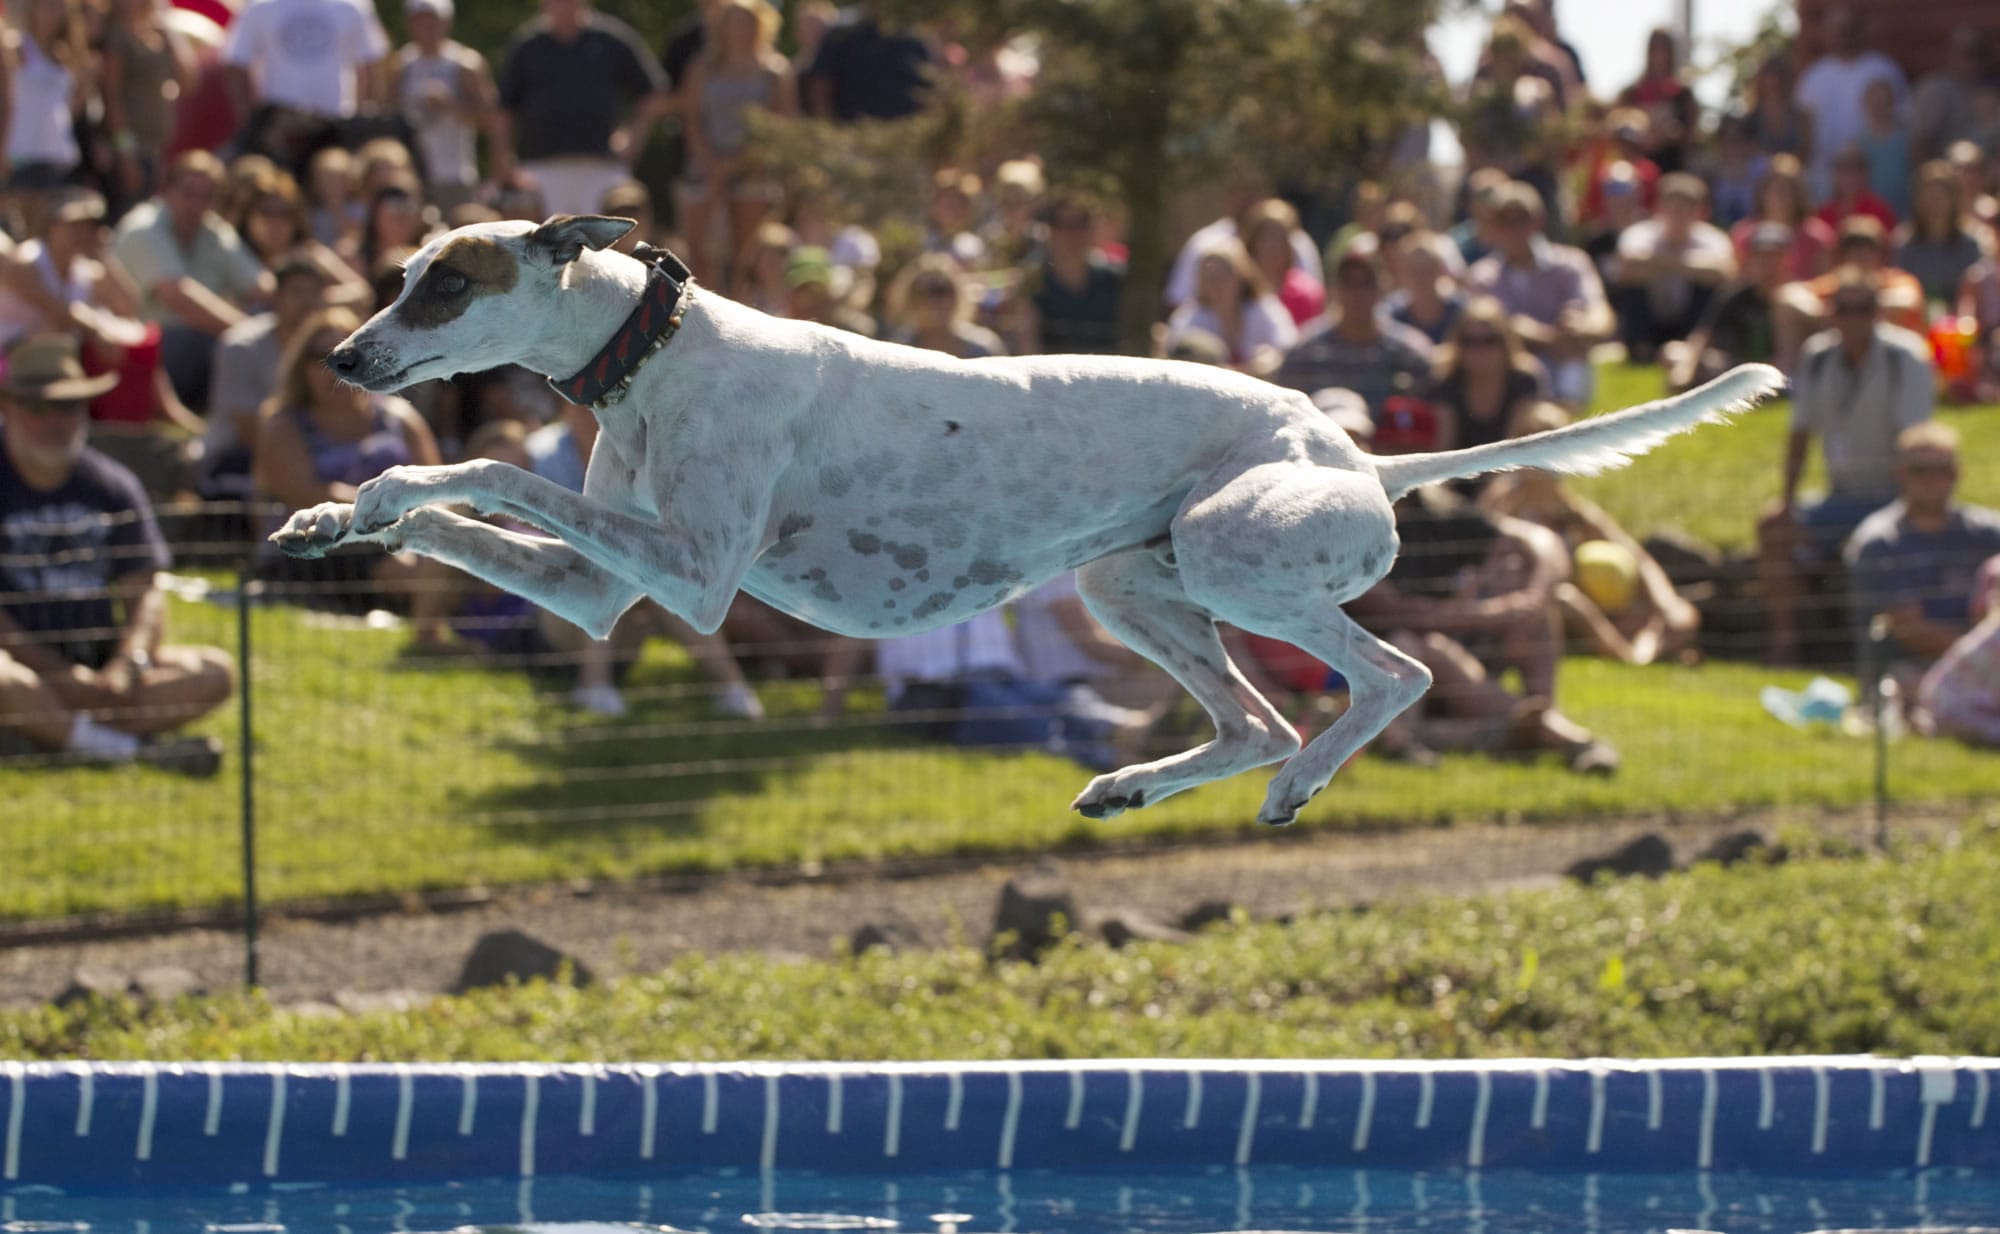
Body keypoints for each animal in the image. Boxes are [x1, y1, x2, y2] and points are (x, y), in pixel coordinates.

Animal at [270, 217, 1784, 824]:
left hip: (1240, 561)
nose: (339, 358)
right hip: (1138, 588)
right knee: (1260, 715)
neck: (654, 353)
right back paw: (1141, 784)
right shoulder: (606, 594)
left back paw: (1297, 786)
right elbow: (484, 516)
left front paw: (382, 490)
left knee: (1389, 677)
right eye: (400, 274)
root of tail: (1361, 453)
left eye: (447, 284)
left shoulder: (693, 577)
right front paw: (334, 515)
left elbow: (489, 471)